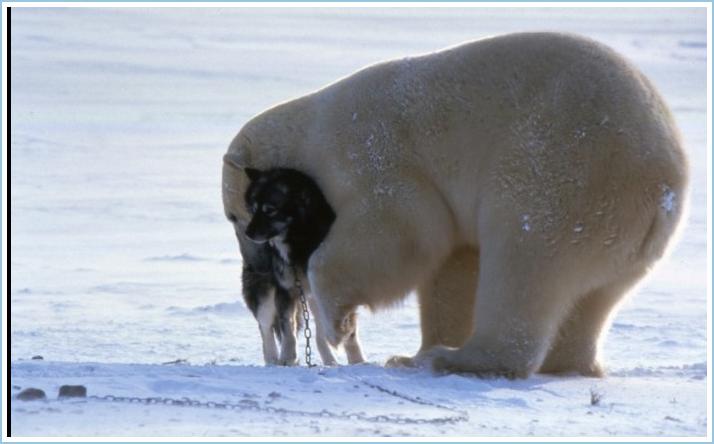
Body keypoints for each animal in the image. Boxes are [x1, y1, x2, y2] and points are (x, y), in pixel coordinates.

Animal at [242, 168, 364, 366]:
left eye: (269, 210)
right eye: (253, 209)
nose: (247, 233)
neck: (299, 243)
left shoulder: (337, 289)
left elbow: (348, 331)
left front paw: (358, 361)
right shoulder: (285, 290)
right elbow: (287, 326)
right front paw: (288, 356)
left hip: (314, 298)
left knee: (321, 333)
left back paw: (330, 360)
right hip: (264, 292)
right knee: (265, 327)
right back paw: (272, 360)